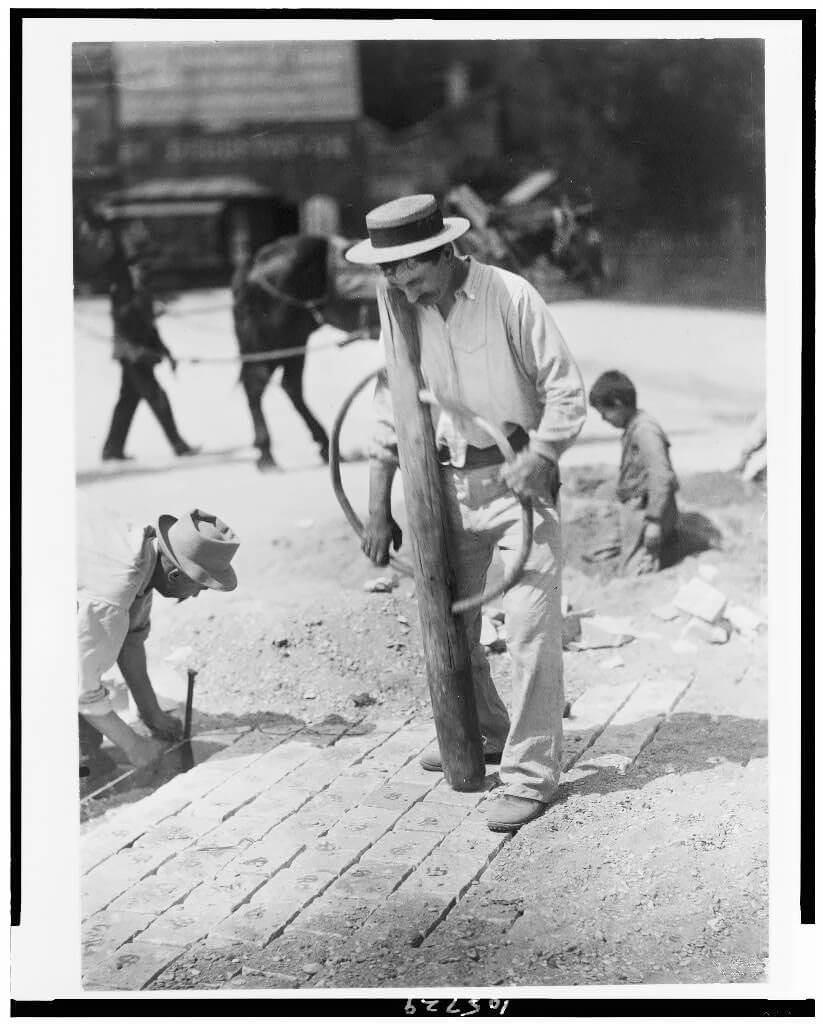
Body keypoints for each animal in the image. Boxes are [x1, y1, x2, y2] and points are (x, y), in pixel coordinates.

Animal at [231, 234, 378, 468]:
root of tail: (255, 262)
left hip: (293, 340)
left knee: (289, 386)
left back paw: (324, 445)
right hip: (275, 342)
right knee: (257, 383)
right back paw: (267, 455)